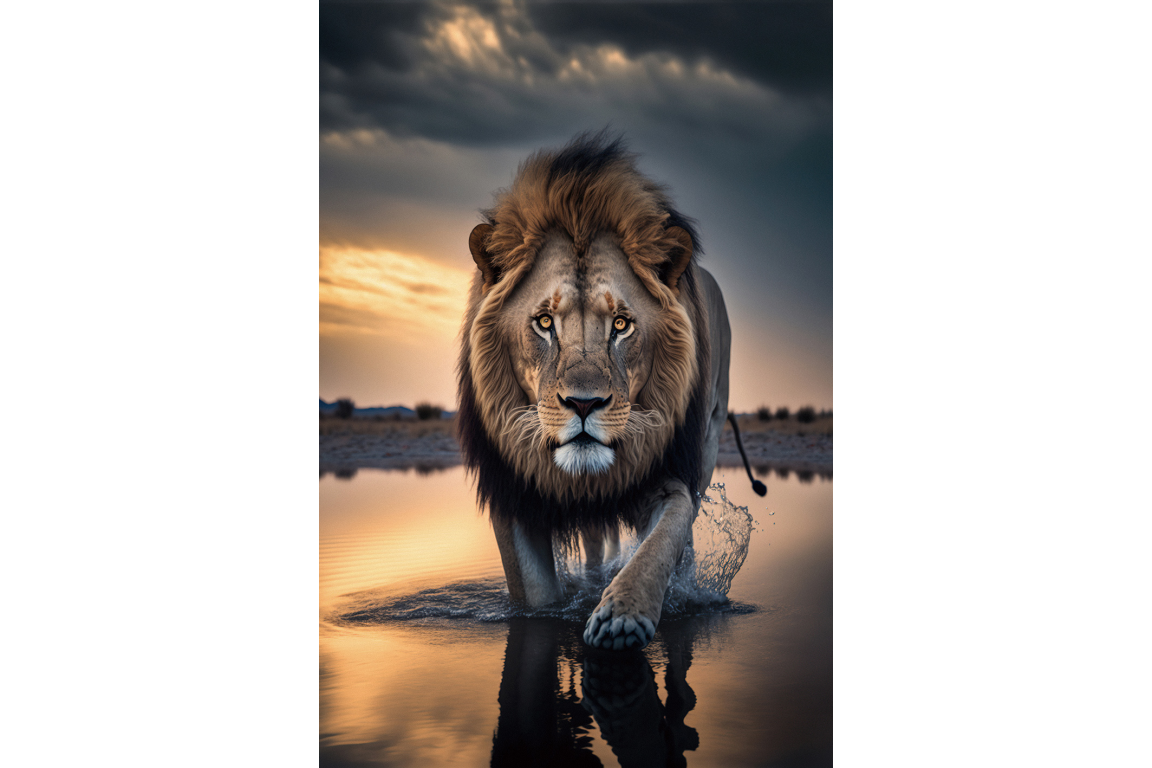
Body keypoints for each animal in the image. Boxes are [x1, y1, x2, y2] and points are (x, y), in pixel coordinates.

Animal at [458, 132, 756, 651]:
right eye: (544, 322)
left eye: (621, 325)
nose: (583, 404)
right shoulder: (515, 496)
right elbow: (536, 600)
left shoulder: (668, 475)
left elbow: (658, 547)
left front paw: (623, 617)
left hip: (707, 444)